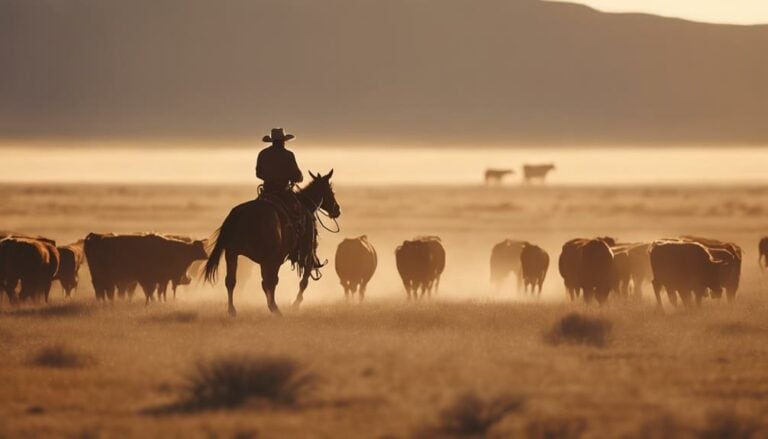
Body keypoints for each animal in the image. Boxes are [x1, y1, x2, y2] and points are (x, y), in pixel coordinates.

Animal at [204, 170, 340, 318]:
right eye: (331, 191)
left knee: (231, 281)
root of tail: (240, 213)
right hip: (270, 258)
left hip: (232, 253)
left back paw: (233, 310)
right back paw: (275, 308)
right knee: (269, 282)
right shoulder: (307, 253)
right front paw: (295, 305)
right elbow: (304, 281)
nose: (337, 210)